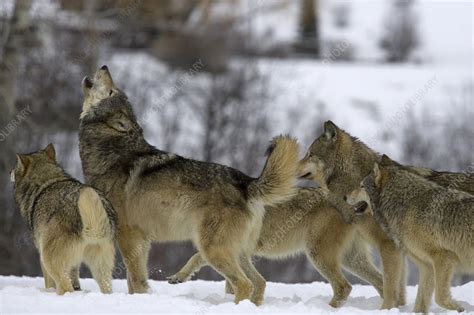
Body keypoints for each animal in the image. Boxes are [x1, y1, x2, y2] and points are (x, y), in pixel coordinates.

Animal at [11, 144, 116, 296]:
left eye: (15, 167)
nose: (10, 172)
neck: (45, 183)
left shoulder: (41, 257)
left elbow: (49, 284)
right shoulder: (74, 264)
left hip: (49, 260)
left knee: (66, 287)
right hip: (101, 270)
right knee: (106, 288)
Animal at [167, 188, 386, 308]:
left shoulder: (220, 246)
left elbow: (196, 257)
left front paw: (178, 276)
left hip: (318, 255)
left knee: (344, 287)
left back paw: (326, 308)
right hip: (351, 260)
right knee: (380, 281)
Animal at [346, 155, 472, 314]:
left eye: (362, 186)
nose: (344, 197)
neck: (405, 204)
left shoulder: (444, 257)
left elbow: (440, 297)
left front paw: (459, 309)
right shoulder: (427, 266)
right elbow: (420, 302)